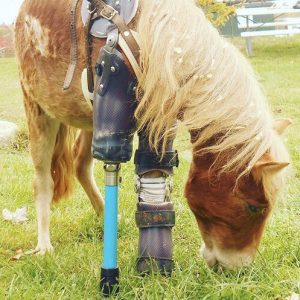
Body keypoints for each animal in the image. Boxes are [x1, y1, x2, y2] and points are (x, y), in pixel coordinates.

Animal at [14, 0, 290, 270]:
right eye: (254, 207)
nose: (239, 267)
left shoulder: (160, 119)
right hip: (38, 110)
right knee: (43, 180)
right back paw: (44, 245)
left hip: (90, 119)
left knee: (81, 165)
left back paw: (107, 218)